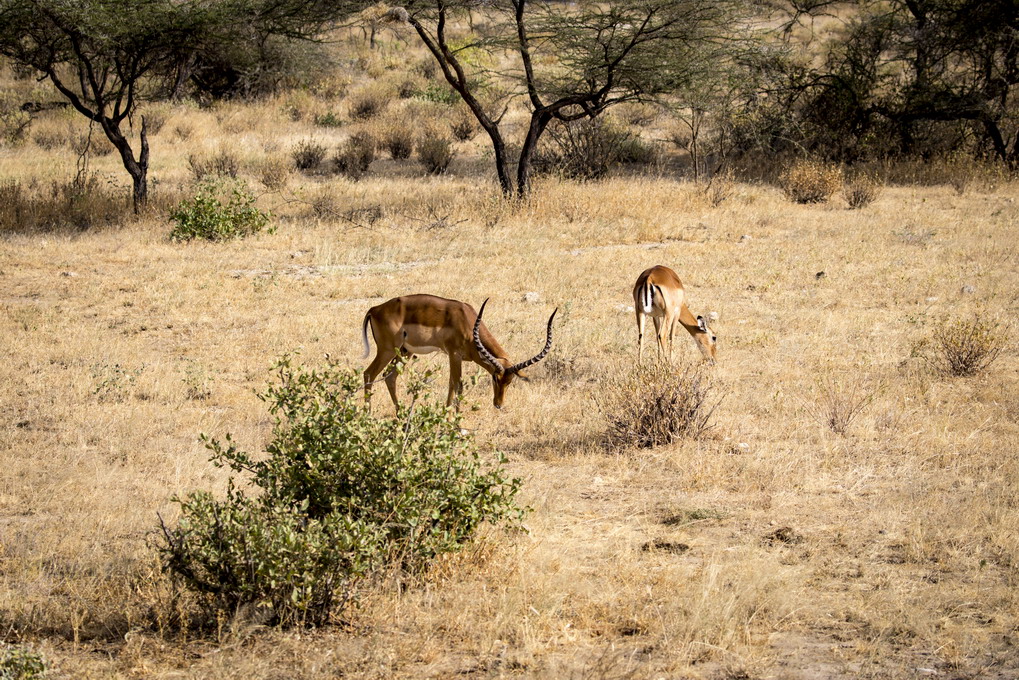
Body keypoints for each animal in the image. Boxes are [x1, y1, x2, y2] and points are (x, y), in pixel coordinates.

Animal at [361, 294, 557, 409]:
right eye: (494, 377)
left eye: (509, 381)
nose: (498, 405)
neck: (466, 321)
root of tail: (375, 309)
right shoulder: (454, 355)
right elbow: (457, 386)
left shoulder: (457, 358)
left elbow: (452, 385)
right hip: (386, 350)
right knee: (369, 374)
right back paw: (367, 415)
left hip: (404, 352)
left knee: (389, 376)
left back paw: (401, 414)